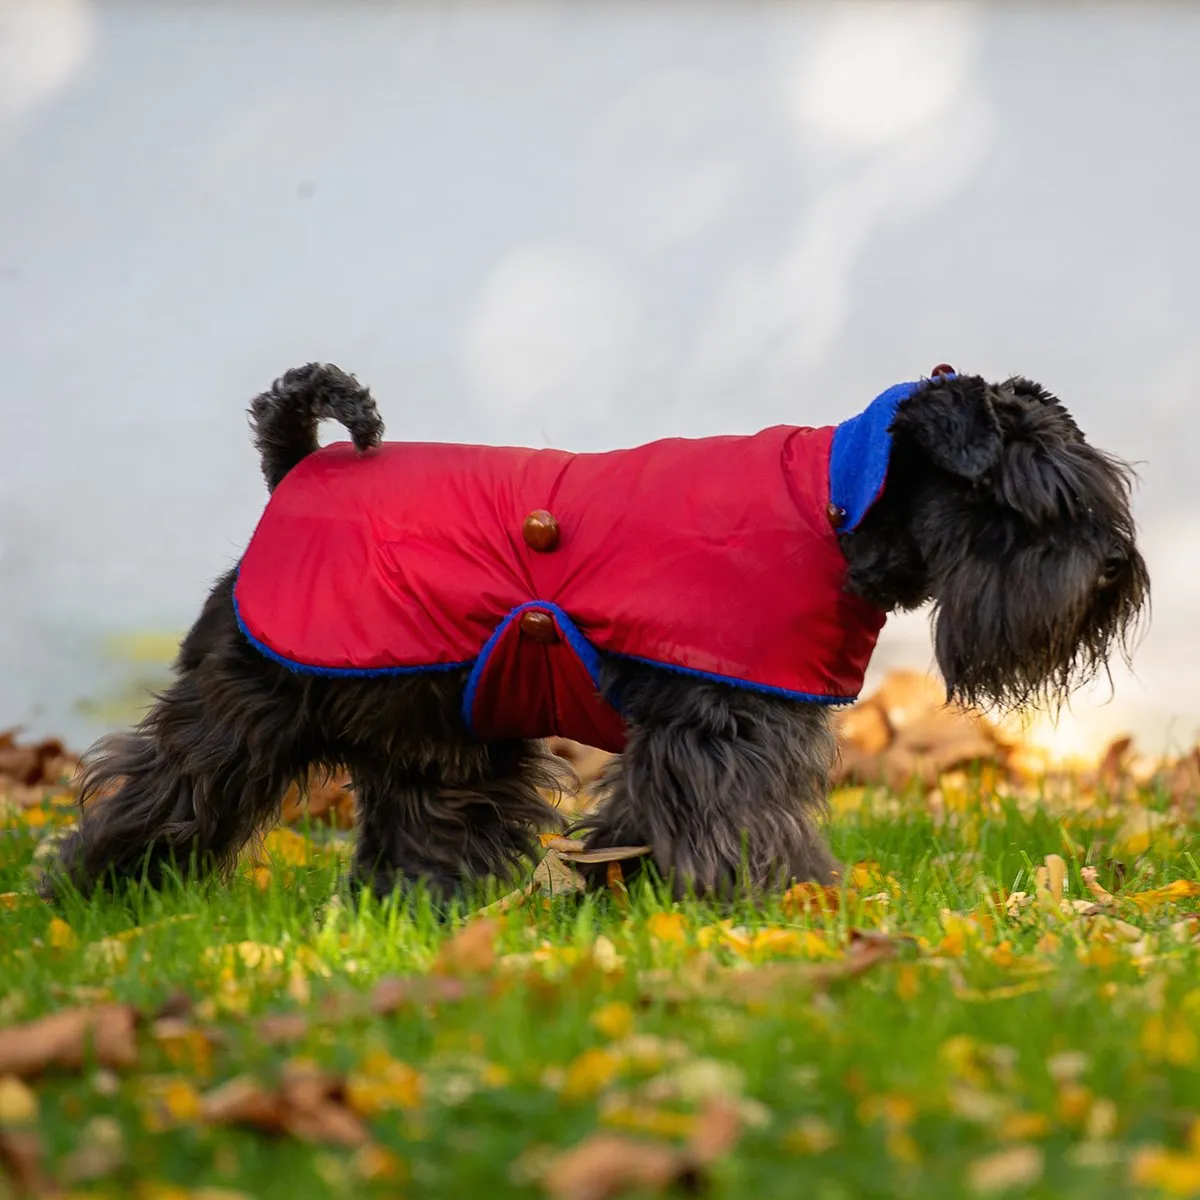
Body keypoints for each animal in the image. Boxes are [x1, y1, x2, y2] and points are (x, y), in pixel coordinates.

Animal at [42, 362, 1147, 902]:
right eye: (1015, 500)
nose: (1108, 569)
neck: (837, 511)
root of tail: (296, 470)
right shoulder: (721, 728)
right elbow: (738, 819)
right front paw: (779, 909)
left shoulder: (697, 735)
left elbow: (640, 820)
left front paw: (630, 900)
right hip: (245, 704)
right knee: (164, 785)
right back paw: (97, 892)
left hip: (441, 733)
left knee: (424, 821)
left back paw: (419, 909)